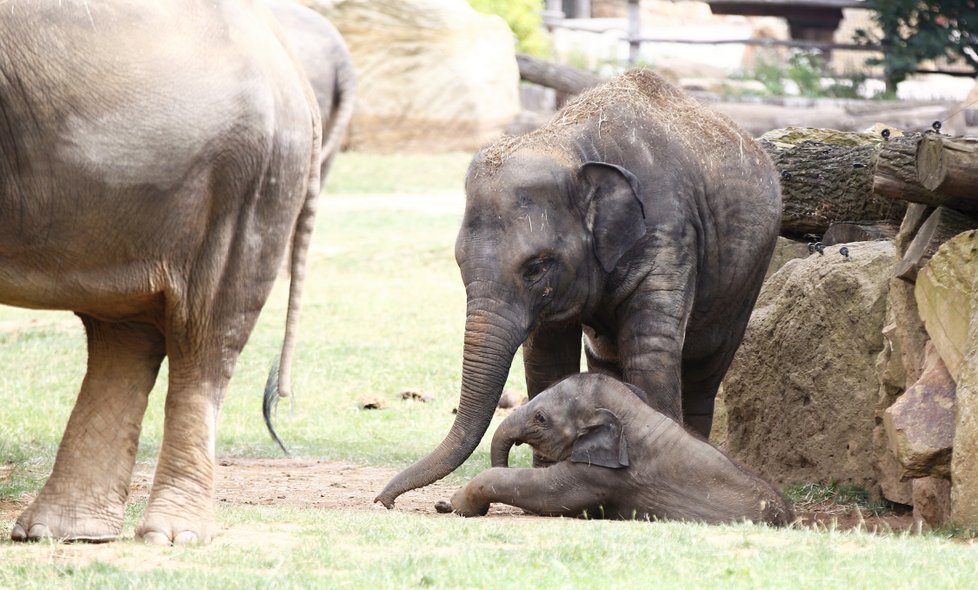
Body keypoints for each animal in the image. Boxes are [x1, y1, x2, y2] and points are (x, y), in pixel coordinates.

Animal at [378, 69, 780, 506]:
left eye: (535, 267)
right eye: (459, 262)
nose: (386, 501)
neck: (568, 144)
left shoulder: (669, 233)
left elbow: (650, 350)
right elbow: (547, 357)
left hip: (749, 276)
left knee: (705, 366)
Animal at [434, 374, 792, 528]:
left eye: (540, 418)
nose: (440, 504)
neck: (632, 410)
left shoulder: (606, 475)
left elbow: (547, 493)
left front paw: (459, 505)